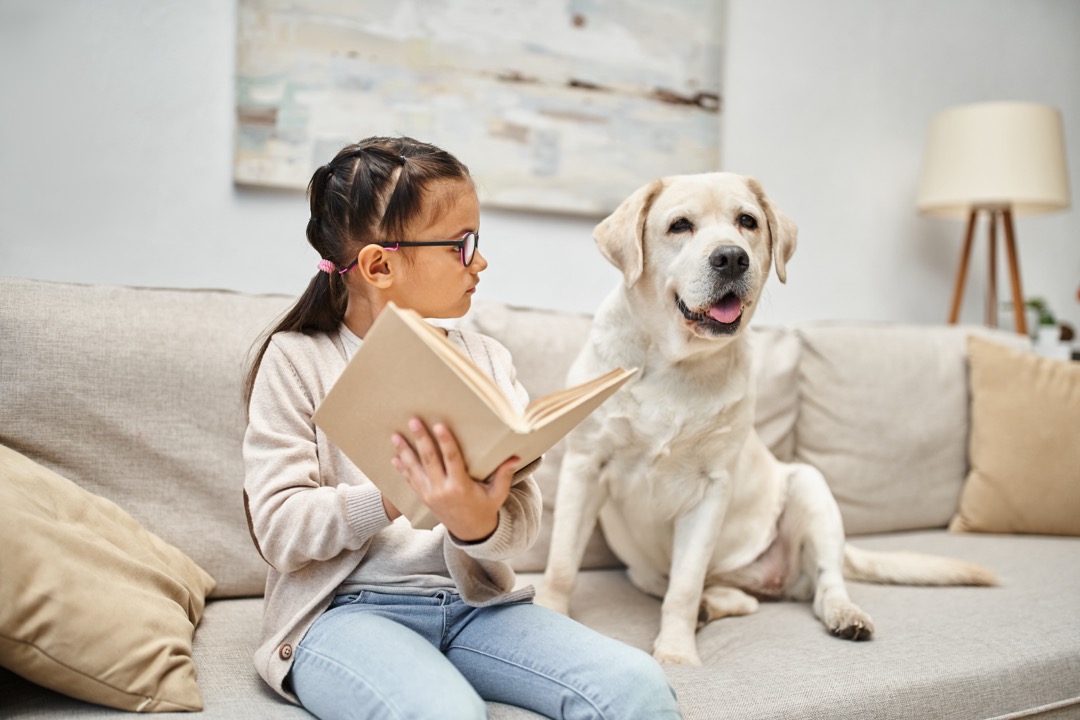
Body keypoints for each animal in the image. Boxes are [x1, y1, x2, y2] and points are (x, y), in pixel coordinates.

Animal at [535, 171, 997, 669]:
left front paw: (676, 653)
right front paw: (551, 614)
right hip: (645, 567)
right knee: (728, 595)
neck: (674, 363)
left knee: (822, 584)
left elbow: (684, 586)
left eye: (747, 222)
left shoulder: (711, 487)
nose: (731, 257)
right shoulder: (585, 465)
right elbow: (562, 564)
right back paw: (714, 606)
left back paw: (844, 614)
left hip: (810, 487)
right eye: (680, 226)